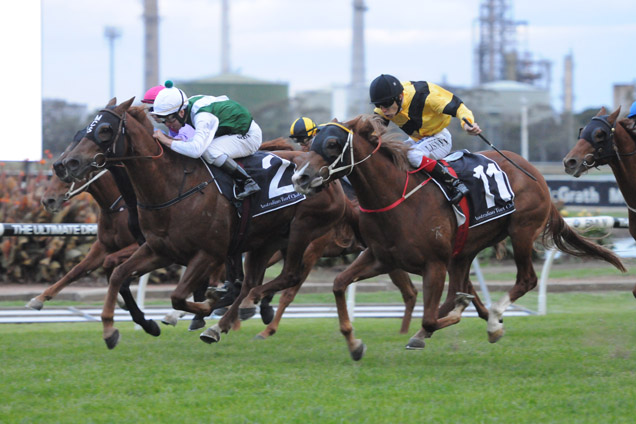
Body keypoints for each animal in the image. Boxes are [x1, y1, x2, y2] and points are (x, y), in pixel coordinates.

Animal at [57, 97, 350, 350]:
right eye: (85, 129)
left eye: (105, 129)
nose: (68, 163)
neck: (174, 186)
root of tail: (328, 178)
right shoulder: (159, 250)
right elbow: (118, 274)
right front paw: (114, 328)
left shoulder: (208, 253)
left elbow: (178, 295)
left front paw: (207, 304)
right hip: (265, 240)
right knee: (252, 281)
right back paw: (223, 323)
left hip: (302, 230)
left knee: (287, 276)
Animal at [292, 114, 628, 360]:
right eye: (311, 141)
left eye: (332, 143)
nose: (301, 177)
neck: (396, 197)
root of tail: (534, 172)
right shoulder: (380, 258)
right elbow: (338, 284)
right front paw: (354, 343)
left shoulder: (434, 264)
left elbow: (431, 315)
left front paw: (457, 316)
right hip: (466, 249)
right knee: (462, 285)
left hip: (520, 231)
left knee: (525, 280)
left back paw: (490, 320)